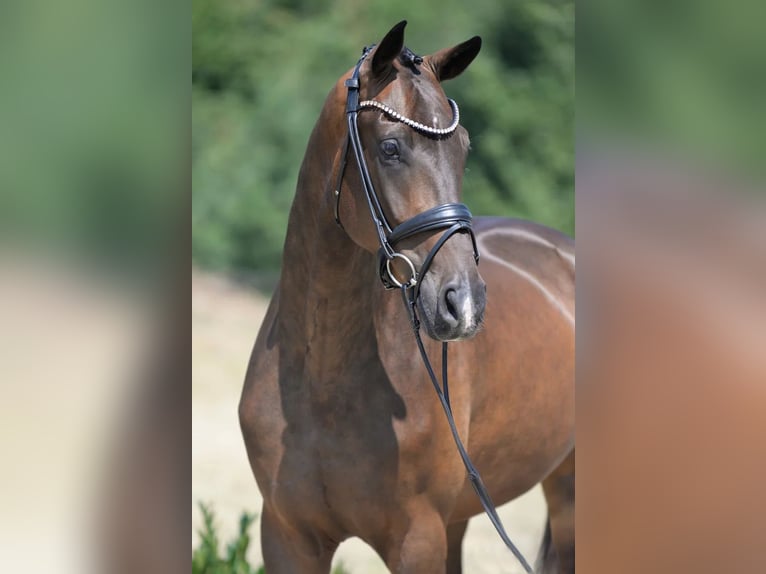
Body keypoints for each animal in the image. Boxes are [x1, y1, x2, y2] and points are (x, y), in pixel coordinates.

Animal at [239, 21, 575, 574]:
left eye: (463, 149)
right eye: (391, 147)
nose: (464, 304)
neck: (323, 384)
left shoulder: (417, 541)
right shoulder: (287, 536)